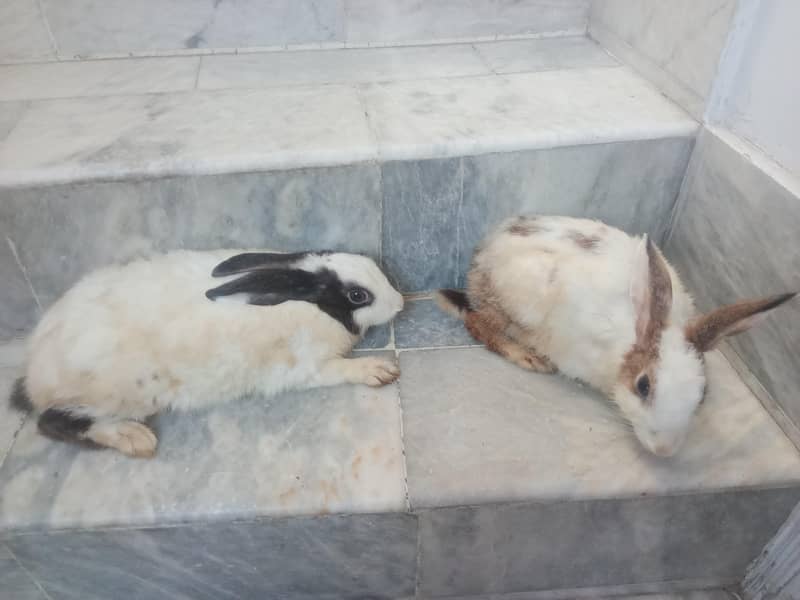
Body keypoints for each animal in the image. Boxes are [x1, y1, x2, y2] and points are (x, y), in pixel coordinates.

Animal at [9, 249, 404, 458]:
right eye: (358, 296)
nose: (400, 302)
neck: (315, 306)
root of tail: (34, 372)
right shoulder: (306, 366)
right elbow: (340, 370)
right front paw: (378, 370)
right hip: (116, 396)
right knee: (52, 421)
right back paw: (133, 438)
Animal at [437, 215, 796, 457]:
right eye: (643, 386)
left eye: (703, 393)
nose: (664, 449)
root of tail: (482, 254)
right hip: (514, 303)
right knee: (479, 325)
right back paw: (528, 357)